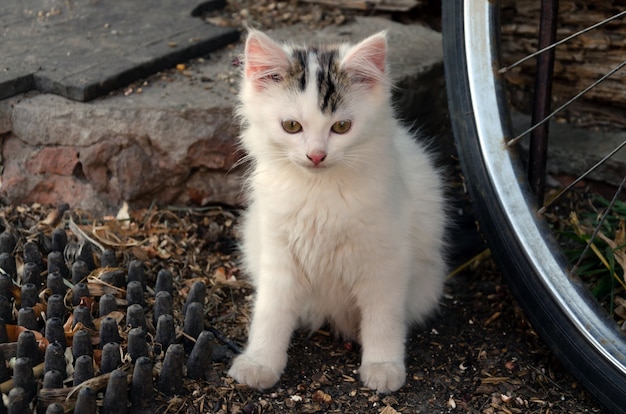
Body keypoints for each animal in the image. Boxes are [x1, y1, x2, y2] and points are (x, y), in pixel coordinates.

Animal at [227, 29, 446, 394]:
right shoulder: (278, 252)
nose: (316, 155)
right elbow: (271, 313)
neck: (319, 192)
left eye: (341, 127)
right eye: (291, 126)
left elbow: (383, 317)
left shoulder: (386, 260)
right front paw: (260, 362)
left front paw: (383, 365)